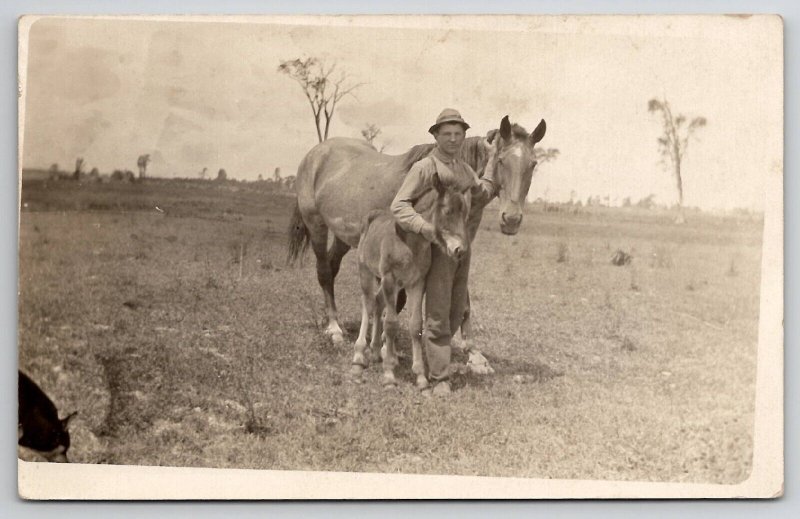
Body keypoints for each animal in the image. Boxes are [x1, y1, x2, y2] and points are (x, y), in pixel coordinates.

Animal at [348, 173, 468, 388]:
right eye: (447, 211)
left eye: (465, 214)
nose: (460, 250)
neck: (410, 243)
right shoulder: (389, 279)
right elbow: (391, 323)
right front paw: (389, 374)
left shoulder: (416, 283)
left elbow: (415, 325)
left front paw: (420, 376)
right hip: (367, 272)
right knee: (368, 305)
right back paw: (359, 357)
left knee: (377, 303)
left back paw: (376, 351)